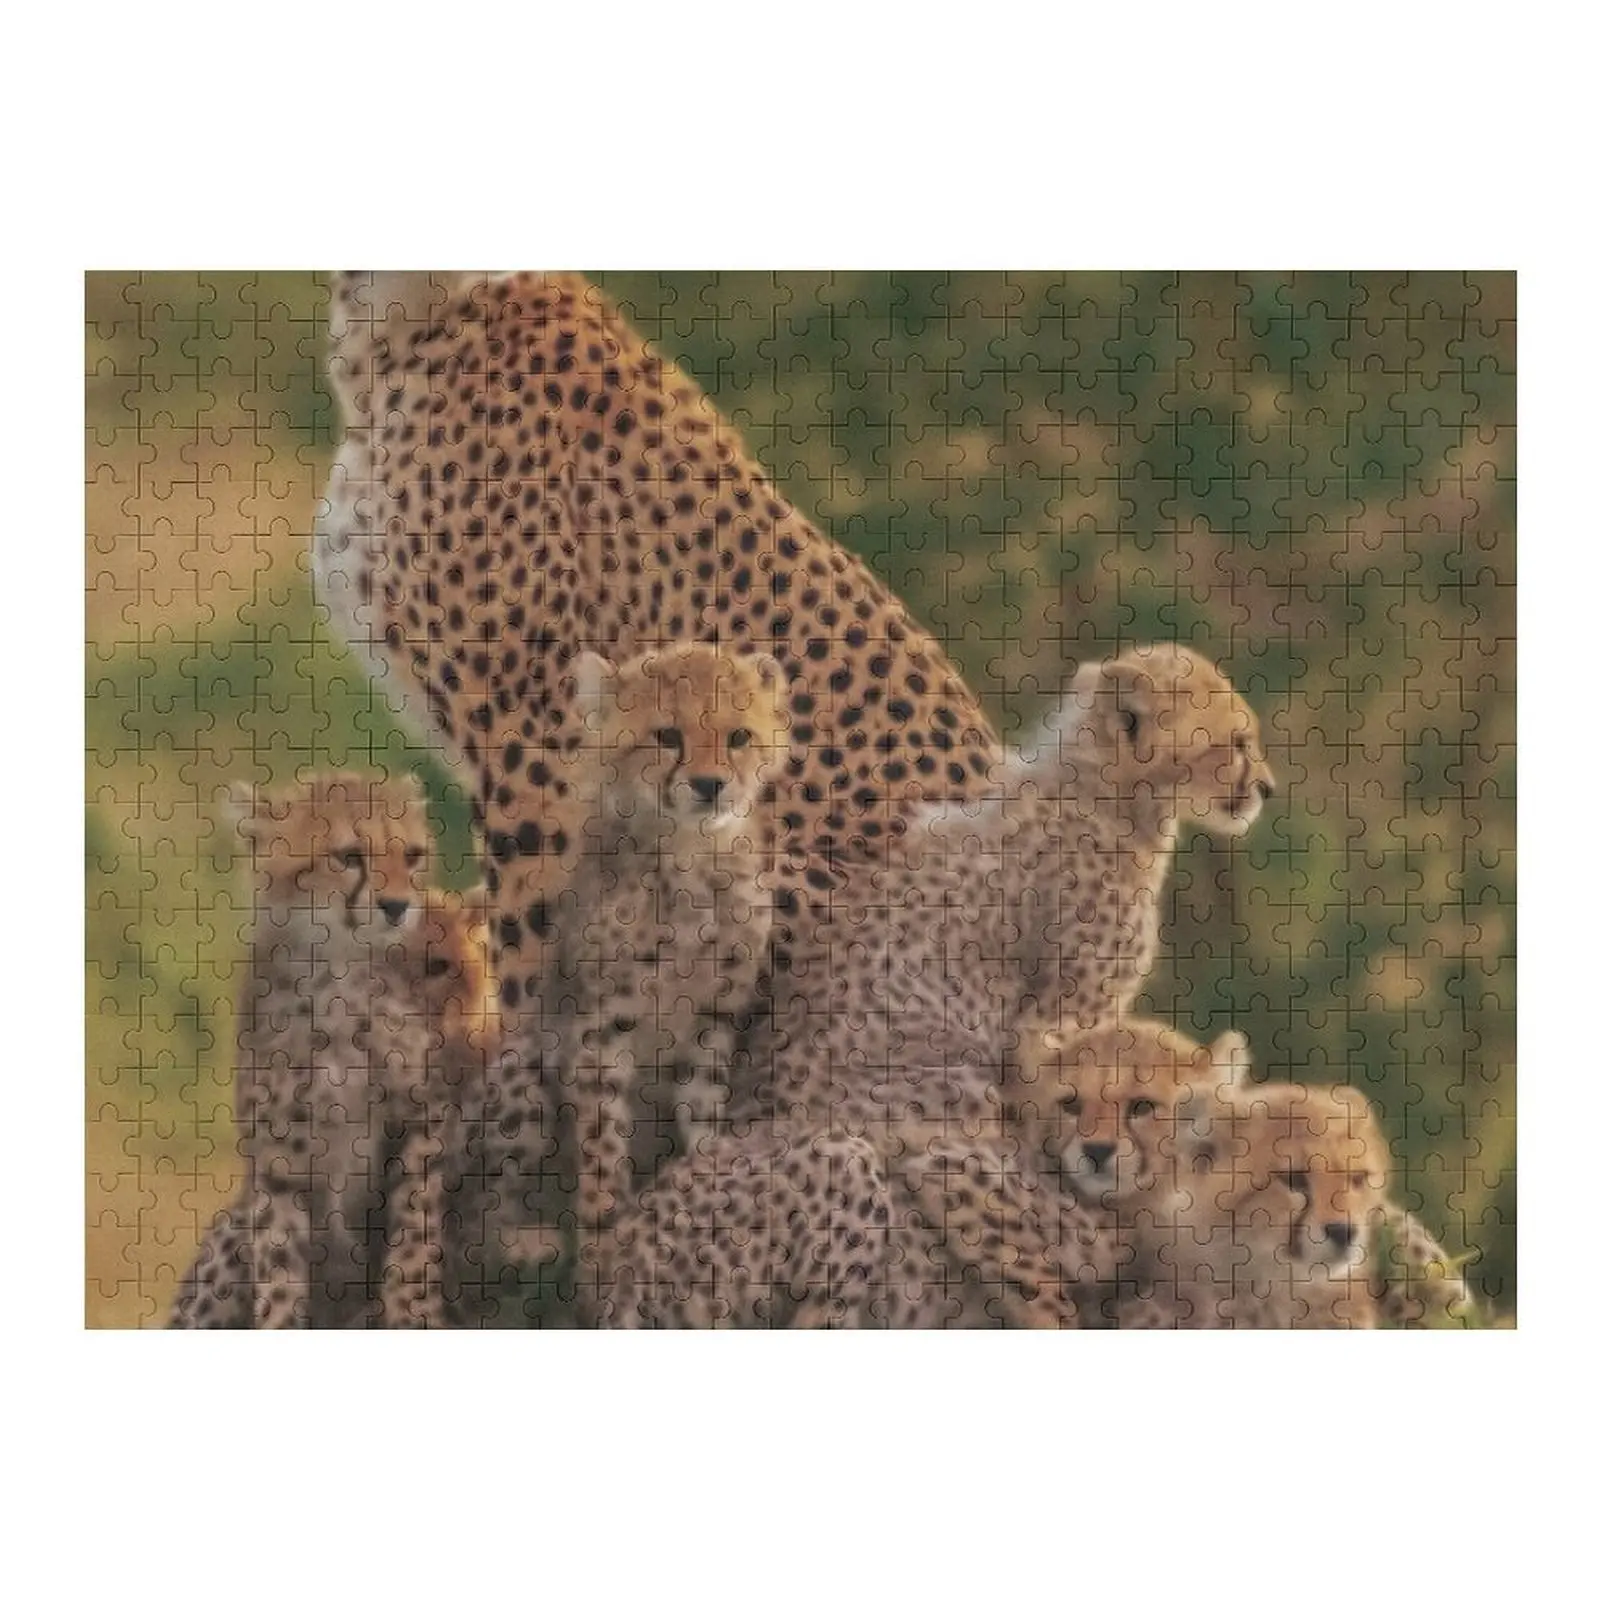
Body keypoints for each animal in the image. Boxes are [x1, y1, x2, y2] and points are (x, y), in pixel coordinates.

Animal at [168, 773, 498, 1329]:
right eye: (348, 856)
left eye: (411, 855)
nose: (397, 907)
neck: (339, 983)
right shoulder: (277, 1157)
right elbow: (278, 1262)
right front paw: (280, 1319)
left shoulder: (420, 1119)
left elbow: (414, 1224)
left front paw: (410, 1310)